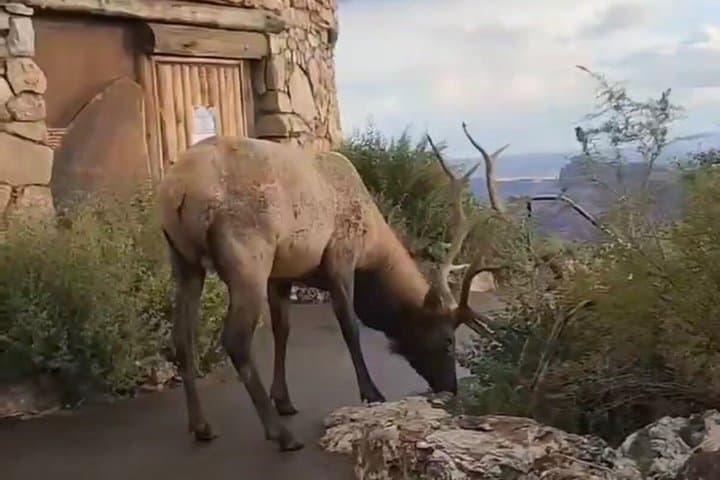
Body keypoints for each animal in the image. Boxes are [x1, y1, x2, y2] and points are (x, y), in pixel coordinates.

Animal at [157, 132, 503, 451]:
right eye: (447, 340)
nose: (451, 388)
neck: (372, 253)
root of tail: (179, 189)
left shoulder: (281, 274)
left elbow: (283, 330)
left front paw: (284, 399)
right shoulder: (341, 257)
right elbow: (349, 327)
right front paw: (371, 393)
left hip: (183, 260)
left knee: (182, 336)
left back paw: (201, 425)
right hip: (248, 256)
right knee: (235, 339)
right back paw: (281, 435)